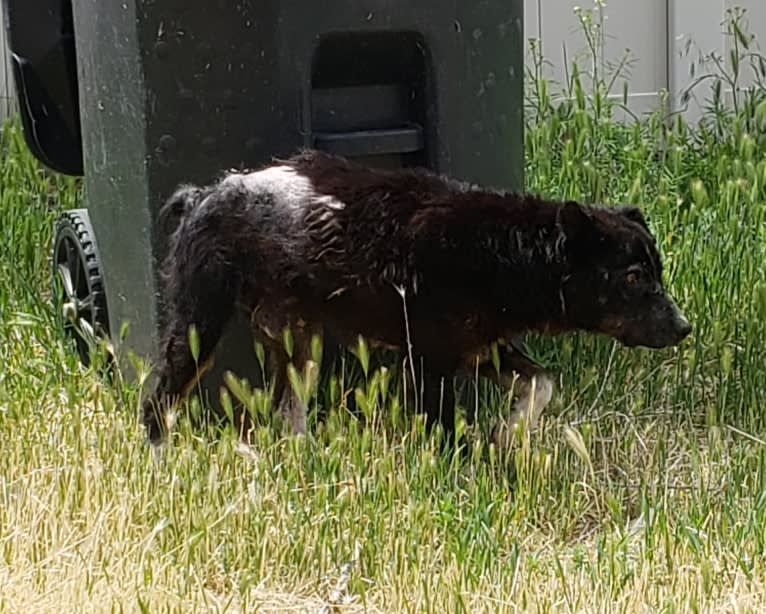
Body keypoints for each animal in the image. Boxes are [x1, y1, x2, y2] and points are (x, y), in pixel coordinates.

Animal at [141, 149, 692, 448]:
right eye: (634, 278)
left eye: (657, 272)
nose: (684, 327)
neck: (500, 249)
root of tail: (203, 196)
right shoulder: (428, 362)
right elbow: (446, 433)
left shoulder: (481, 348)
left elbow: (541, 385)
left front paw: (508, 434)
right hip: (199, 324)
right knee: (157, 398)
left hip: (298, 343)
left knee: (287, 417)